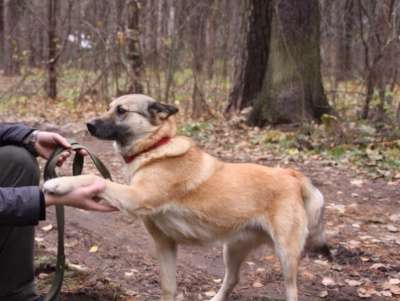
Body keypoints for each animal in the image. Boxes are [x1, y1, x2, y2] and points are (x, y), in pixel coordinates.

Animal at [44, 94, 332, 300]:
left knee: (291, 290)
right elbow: (168, 288)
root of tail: (291, 174)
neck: (154, 148)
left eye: (121, 110)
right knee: (232, 280)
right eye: (108, 107)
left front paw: (58, 183)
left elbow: (95, 179)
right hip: (233, 248)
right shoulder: (165, 244)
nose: (89, 125)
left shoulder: (134, 197)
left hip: (286, 256)